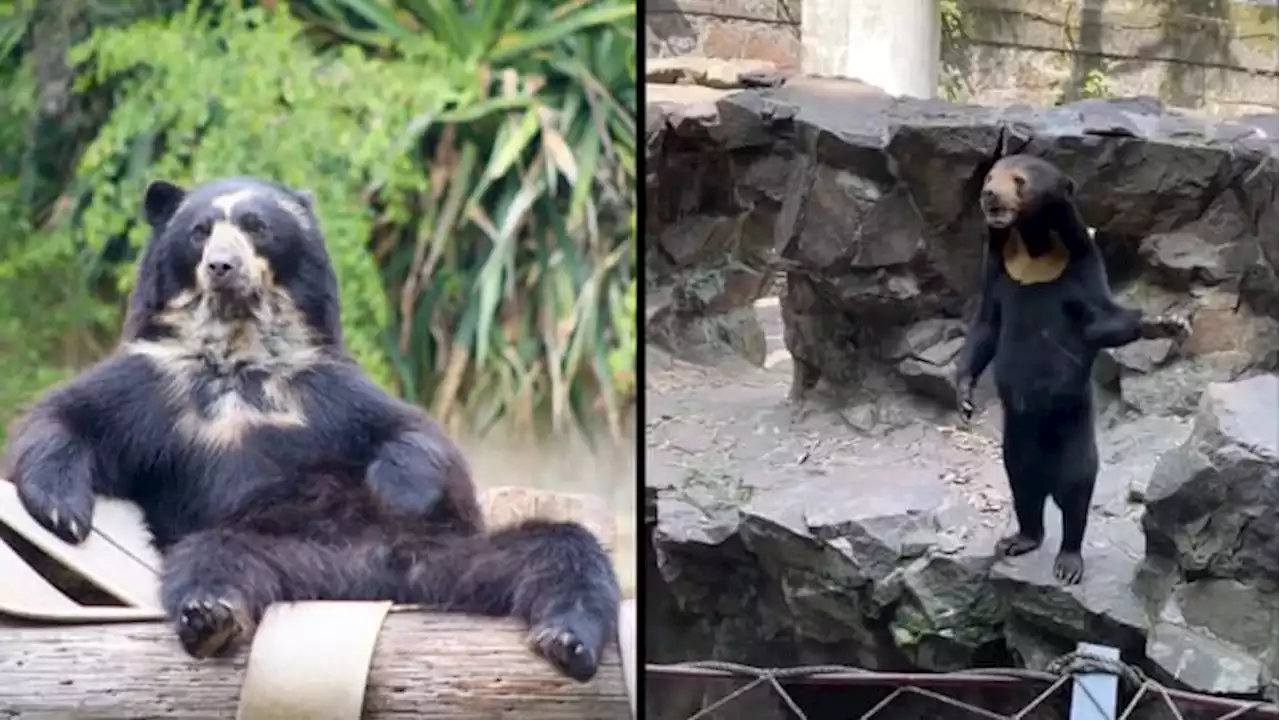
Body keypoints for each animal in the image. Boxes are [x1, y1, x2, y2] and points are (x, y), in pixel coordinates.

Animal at [0, 175, 619, 676]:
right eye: (200, 231)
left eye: (256, 226)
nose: (221, 267)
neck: (239, 350)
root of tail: (366, 581)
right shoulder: (157, 383)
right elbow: (71, 417)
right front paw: (63, 513)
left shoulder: (323, 385)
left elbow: (410, 434)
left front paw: (401, 489)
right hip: (268, 549)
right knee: (211, 560)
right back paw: (210, 617)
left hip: (446, 554)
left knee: (562, 552)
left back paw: (567, 639)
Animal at [957, 155, 1182, 584]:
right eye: (991, 175)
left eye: (1018, 180)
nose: (989, 194)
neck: (1034, 247)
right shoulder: (998, 266)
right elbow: (987, 324)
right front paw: (962, 397)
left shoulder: (1080, 263)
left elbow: (1099, 320)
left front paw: (1167, 322)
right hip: (1017, 440)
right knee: (1023, 483)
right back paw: (1019, 538)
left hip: (1074, 428)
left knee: (1076, 488)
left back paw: (1068, 561)